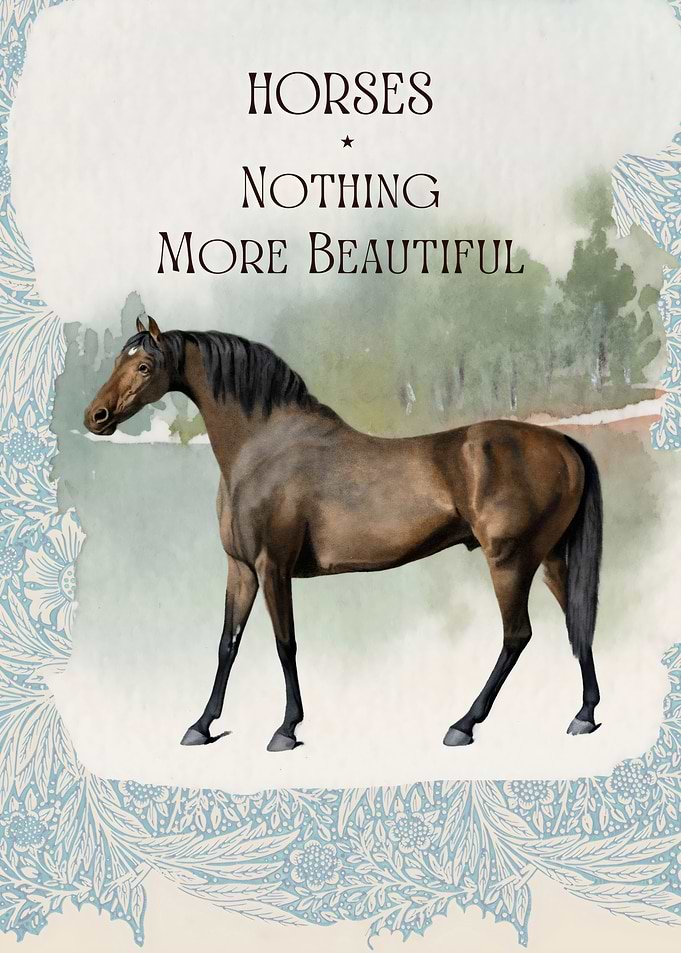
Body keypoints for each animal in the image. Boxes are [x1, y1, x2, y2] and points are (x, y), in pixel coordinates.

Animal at [84, 316, 603, 752]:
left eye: (145, 365)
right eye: (117, 361)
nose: (97, 416)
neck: (262, 449)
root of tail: (563, 442)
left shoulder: (273, 567)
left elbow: (285, 643)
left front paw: (286, 729)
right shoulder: (241, 569)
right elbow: (227, 645)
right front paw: (201, 725)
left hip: (509, 562)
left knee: (517, 636)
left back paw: (463, 724)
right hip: (550, 560)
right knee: (577, 623)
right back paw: (584, 714)